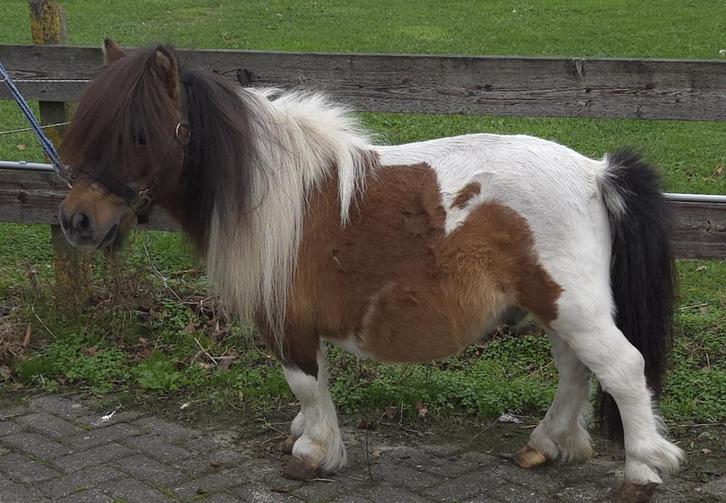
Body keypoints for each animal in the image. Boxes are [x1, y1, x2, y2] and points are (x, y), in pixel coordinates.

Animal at [58, 40, 683, 502]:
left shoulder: (288, 324)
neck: (266, 193)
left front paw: (313, 453)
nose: (76, 220)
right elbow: (314, 388)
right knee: (576, 371)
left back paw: (641, 471)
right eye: (86, 130)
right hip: (553, 305)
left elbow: (305, 383)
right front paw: (305, 437)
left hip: (571, 306)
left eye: (139, 134)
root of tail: (595, 173)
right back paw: (547, 443)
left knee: (622, 369)